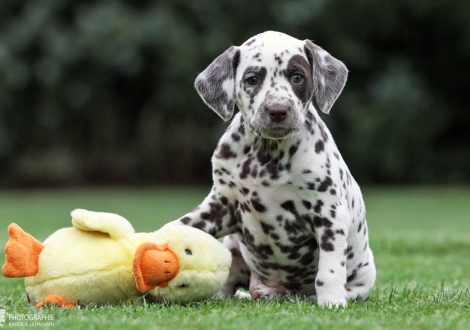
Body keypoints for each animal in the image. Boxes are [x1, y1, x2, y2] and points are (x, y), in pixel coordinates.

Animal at [165, 31, 374, 306]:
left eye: (297, 77)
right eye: (252, 79)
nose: (278, 110)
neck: (267, 156)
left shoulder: (329, 214)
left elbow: (328, 271)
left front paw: (331, 301)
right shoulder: (222, 205)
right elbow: (180, 225)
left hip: (364, 275)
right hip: (232, 246)